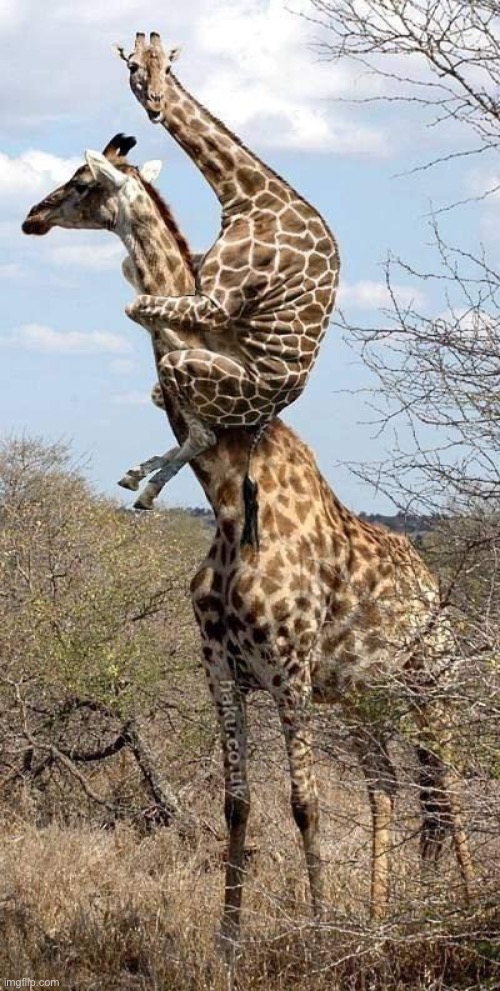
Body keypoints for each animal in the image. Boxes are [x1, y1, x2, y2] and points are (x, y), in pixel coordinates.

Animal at [22, 140, 473, 944]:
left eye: (80, 182)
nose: (30, 217)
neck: (229, 502)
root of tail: (434, 594)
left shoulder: (289, 670)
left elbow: (305, 803)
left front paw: (321, 935)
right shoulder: (221, 669)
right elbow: (238, 803)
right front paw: (229, 938)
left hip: (434, 691)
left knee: (446, 794)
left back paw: (460, 908)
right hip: (363, 700)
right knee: (394, 790)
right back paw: (385, 920)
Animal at [112, 31, 339, 517]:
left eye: (167, 68)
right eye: (134, 66)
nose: (156, 105)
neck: (246, 196)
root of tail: (271, 409)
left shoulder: (216, 303)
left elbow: (139, 303)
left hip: (202, 374)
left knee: (203, 429)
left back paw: (146, 487)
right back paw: (137, 477)